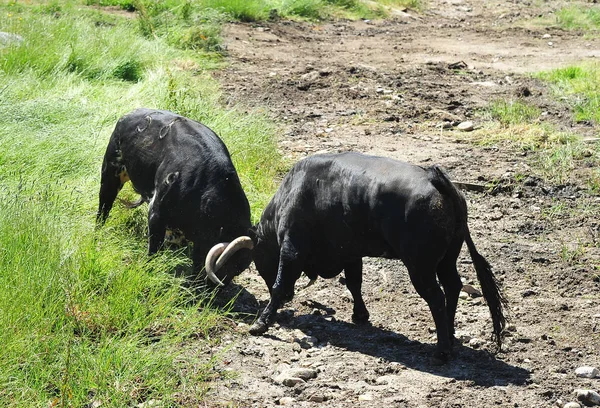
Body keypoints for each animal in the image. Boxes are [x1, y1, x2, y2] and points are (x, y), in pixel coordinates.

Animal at [211, 153, 506, 364]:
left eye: (258, 258)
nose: (292, 298)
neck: (292, 194)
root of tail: (435, 178)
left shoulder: (292, 248)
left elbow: (279, 285)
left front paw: (262, 323)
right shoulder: (351, 253)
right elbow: (354, 283)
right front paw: (360, 315)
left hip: (420, 267)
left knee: (437, 297)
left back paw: (442, 350)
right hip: (446, 259)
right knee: (453, 286)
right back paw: (451, 335)